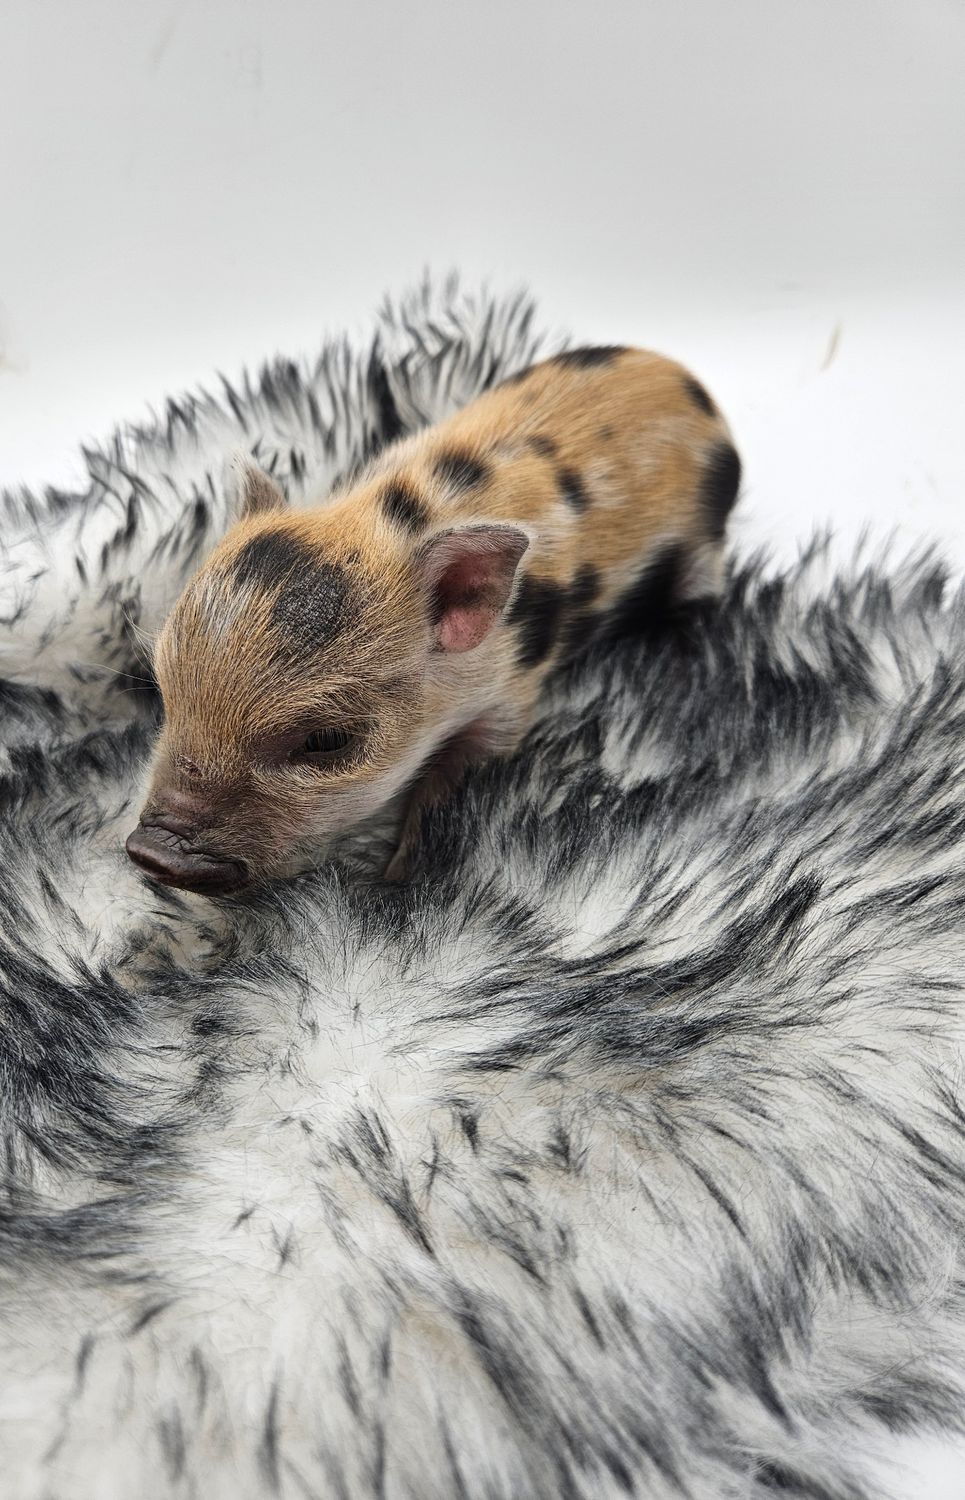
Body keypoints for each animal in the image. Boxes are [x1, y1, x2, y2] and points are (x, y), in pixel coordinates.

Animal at [125, 344, 740, 893]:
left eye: (326, 740)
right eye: (164, 689)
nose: (154, 854)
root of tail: (688, 381)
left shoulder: (511, 694)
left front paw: (396, 879)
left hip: (704, 546)